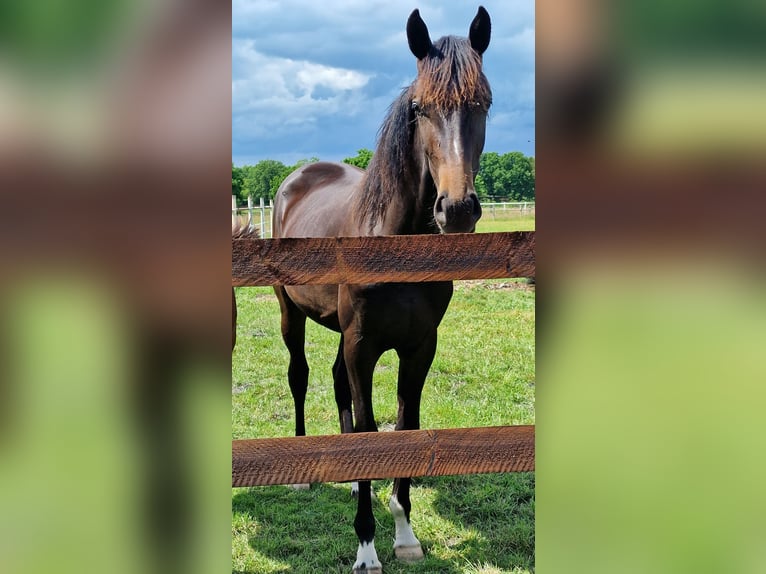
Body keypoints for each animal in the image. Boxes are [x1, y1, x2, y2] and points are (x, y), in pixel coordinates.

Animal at [272, 5, 496, 574]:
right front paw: (367, 548)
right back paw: (305, 472)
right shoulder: (363, 346)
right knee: (301, 377)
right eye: (420, 107)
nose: (455, 209)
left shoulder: (417, 347)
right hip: (292, 316)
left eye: (483, 102)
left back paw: (354, 481)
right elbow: (373, 423)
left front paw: (404, 534)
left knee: (335, 386)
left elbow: (403, 428)